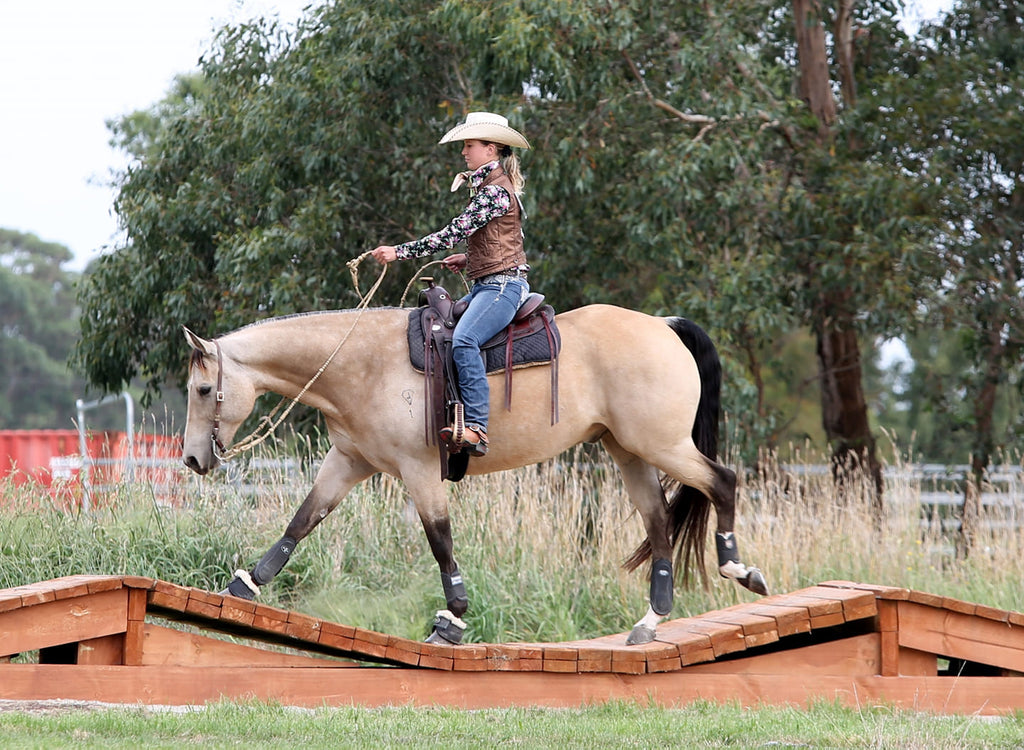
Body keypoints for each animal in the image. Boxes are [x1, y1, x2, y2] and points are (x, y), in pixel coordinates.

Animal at [180, 303, 765, 643]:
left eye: (204, 389)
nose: (191, 459)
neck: (360, 363)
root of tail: (663, 326)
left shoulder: (418, 472)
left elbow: (441, 542)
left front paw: (453, 620)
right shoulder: (349, 461)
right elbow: (302, 521)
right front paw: (242, 585)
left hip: (661, 445)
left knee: (722, 482)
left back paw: (739, 570)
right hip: (629, 451)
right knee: (659, 521)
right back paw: (650, 621)